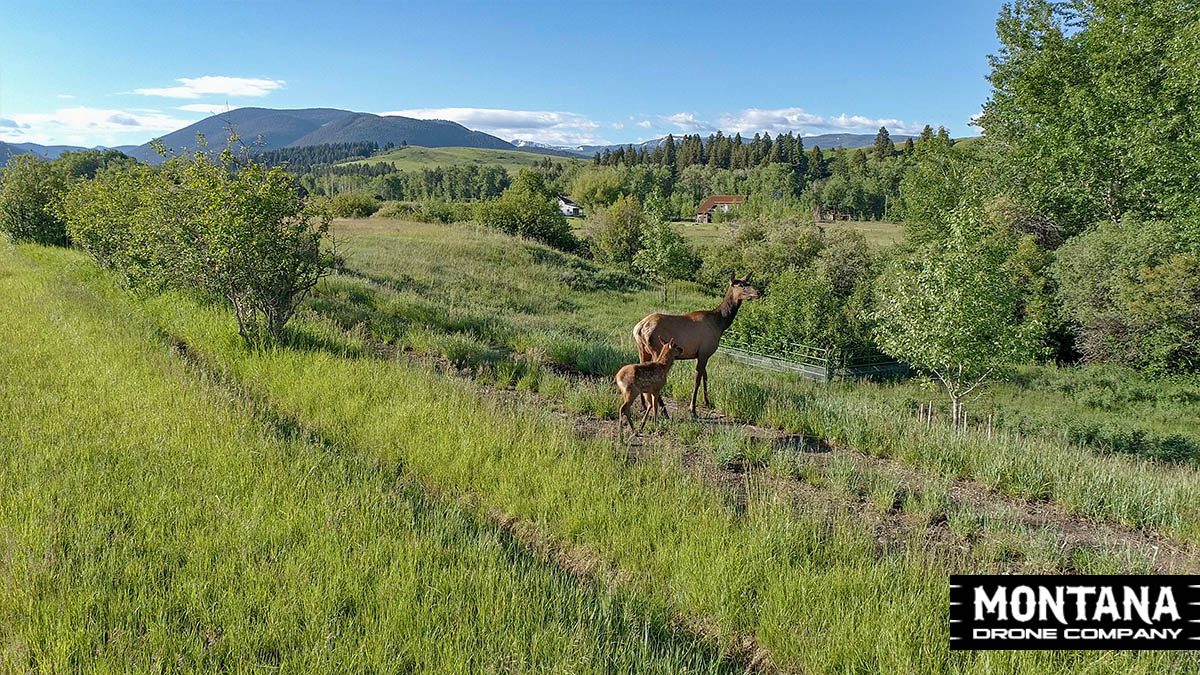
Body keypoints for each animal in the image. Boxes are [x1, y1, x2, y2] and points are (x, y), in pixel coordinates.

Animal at [628, 271, 758, 410]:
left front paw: (706, 402)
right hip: (657, 349)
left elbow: (705, 377)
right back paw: (661, 407)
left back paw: (643, 405)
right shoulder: (704, 352)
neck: (721, 323)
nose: (758, 292)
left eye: (748, 282)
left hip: (642, 349)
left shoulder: (700, 353)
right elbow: (697, 380)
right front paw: (692, 407)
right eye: (741, 285)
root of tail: (639, 328)